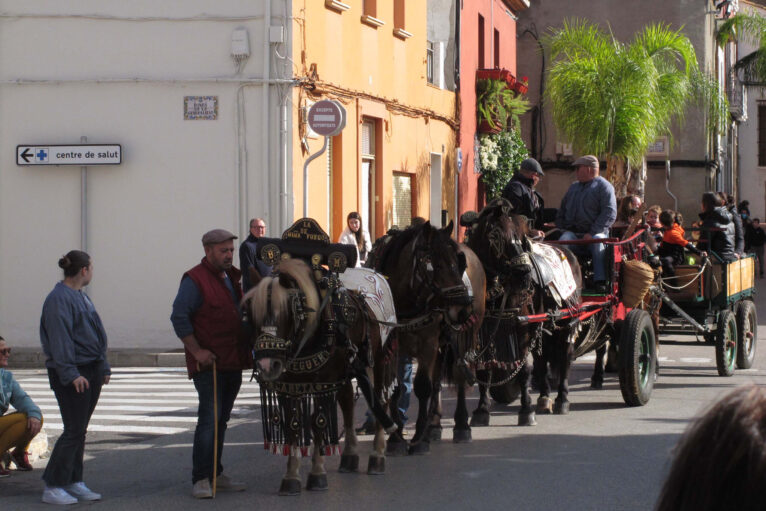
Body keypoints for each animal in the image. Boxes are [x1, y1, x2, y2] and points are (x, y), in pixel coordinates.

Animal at [249, 260, 400, 496]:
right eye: (253, 314)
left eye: (285, 312)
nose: (267, 365)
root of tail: (374, 274)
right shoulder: (289, 386)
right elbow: (292, 426)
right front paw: (291, 477)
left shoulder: (323, 382)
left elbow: (318, 423)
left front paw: (317, 474)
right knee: (347, 403)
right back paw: (350, 455)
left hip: (376, 360)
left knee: (379, 400)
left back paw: (377, 456)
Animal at [368, 222, 480, 454]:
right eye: (433, 263)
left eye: (457, 261)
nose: (463, 308)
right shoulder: (394, 344)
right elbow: (397, 389)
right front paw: (397, 437)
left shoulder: (428, 343)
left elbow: (422, 386)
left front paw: (418, 439)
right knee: (437, 379)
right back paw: (434, 425)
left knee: (459, 375)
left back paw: (461, 425)